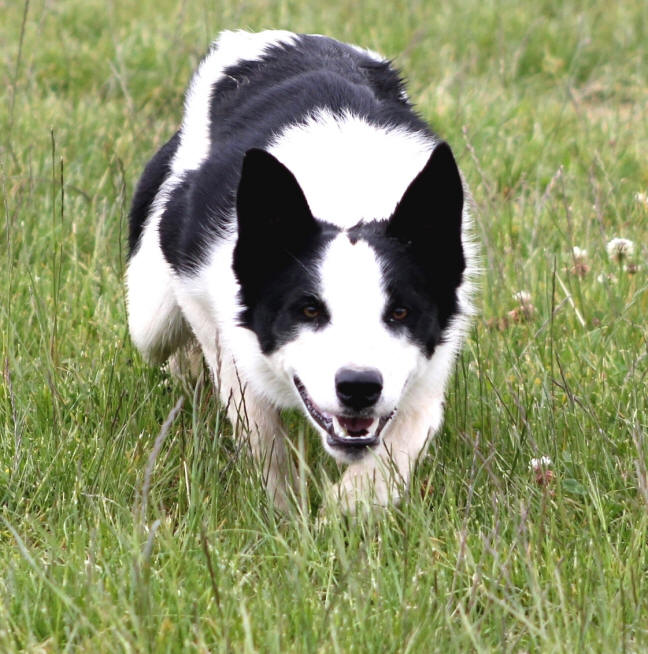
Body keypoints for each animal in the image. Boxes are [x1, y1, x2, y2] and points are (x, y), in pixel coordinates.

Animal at [126, 29, 476, 512]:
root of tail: (273, 38)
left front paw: (342, 513)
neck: (348, 185)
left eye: (401, 312)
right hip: (149, 312)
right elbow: (257, 421)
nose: (359, 387)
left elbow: (403, 438)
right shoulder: (205, 297)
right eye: (308, 310)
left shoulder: (427, 367)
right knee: (166, 340)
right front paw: (285, 511)